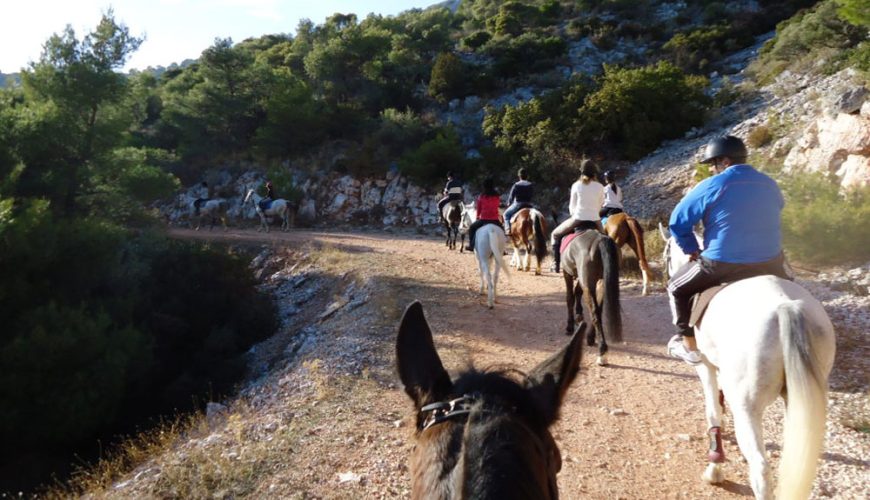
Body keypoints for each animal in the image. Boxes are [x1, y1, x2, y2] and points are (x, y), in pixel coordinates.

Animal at [560, 229, 622, 366]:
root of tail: (601, 240)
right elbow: (577, 292)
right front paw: (578, 316)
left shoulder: (567, 273)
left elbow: (569, 297)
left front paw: (570, 326)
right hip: (601, 283)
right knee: (598, 310)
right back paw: (591, 338)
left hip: (588, 282)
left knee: (594, 313)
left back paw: (602, 354)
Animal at [659, 224, 836, 499]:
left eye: (665, 254)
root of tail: (787, 307)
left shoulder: (705, 366)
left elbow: (713, 411)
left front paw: (714, 469)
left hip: (747, 408)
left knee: (761, 470)